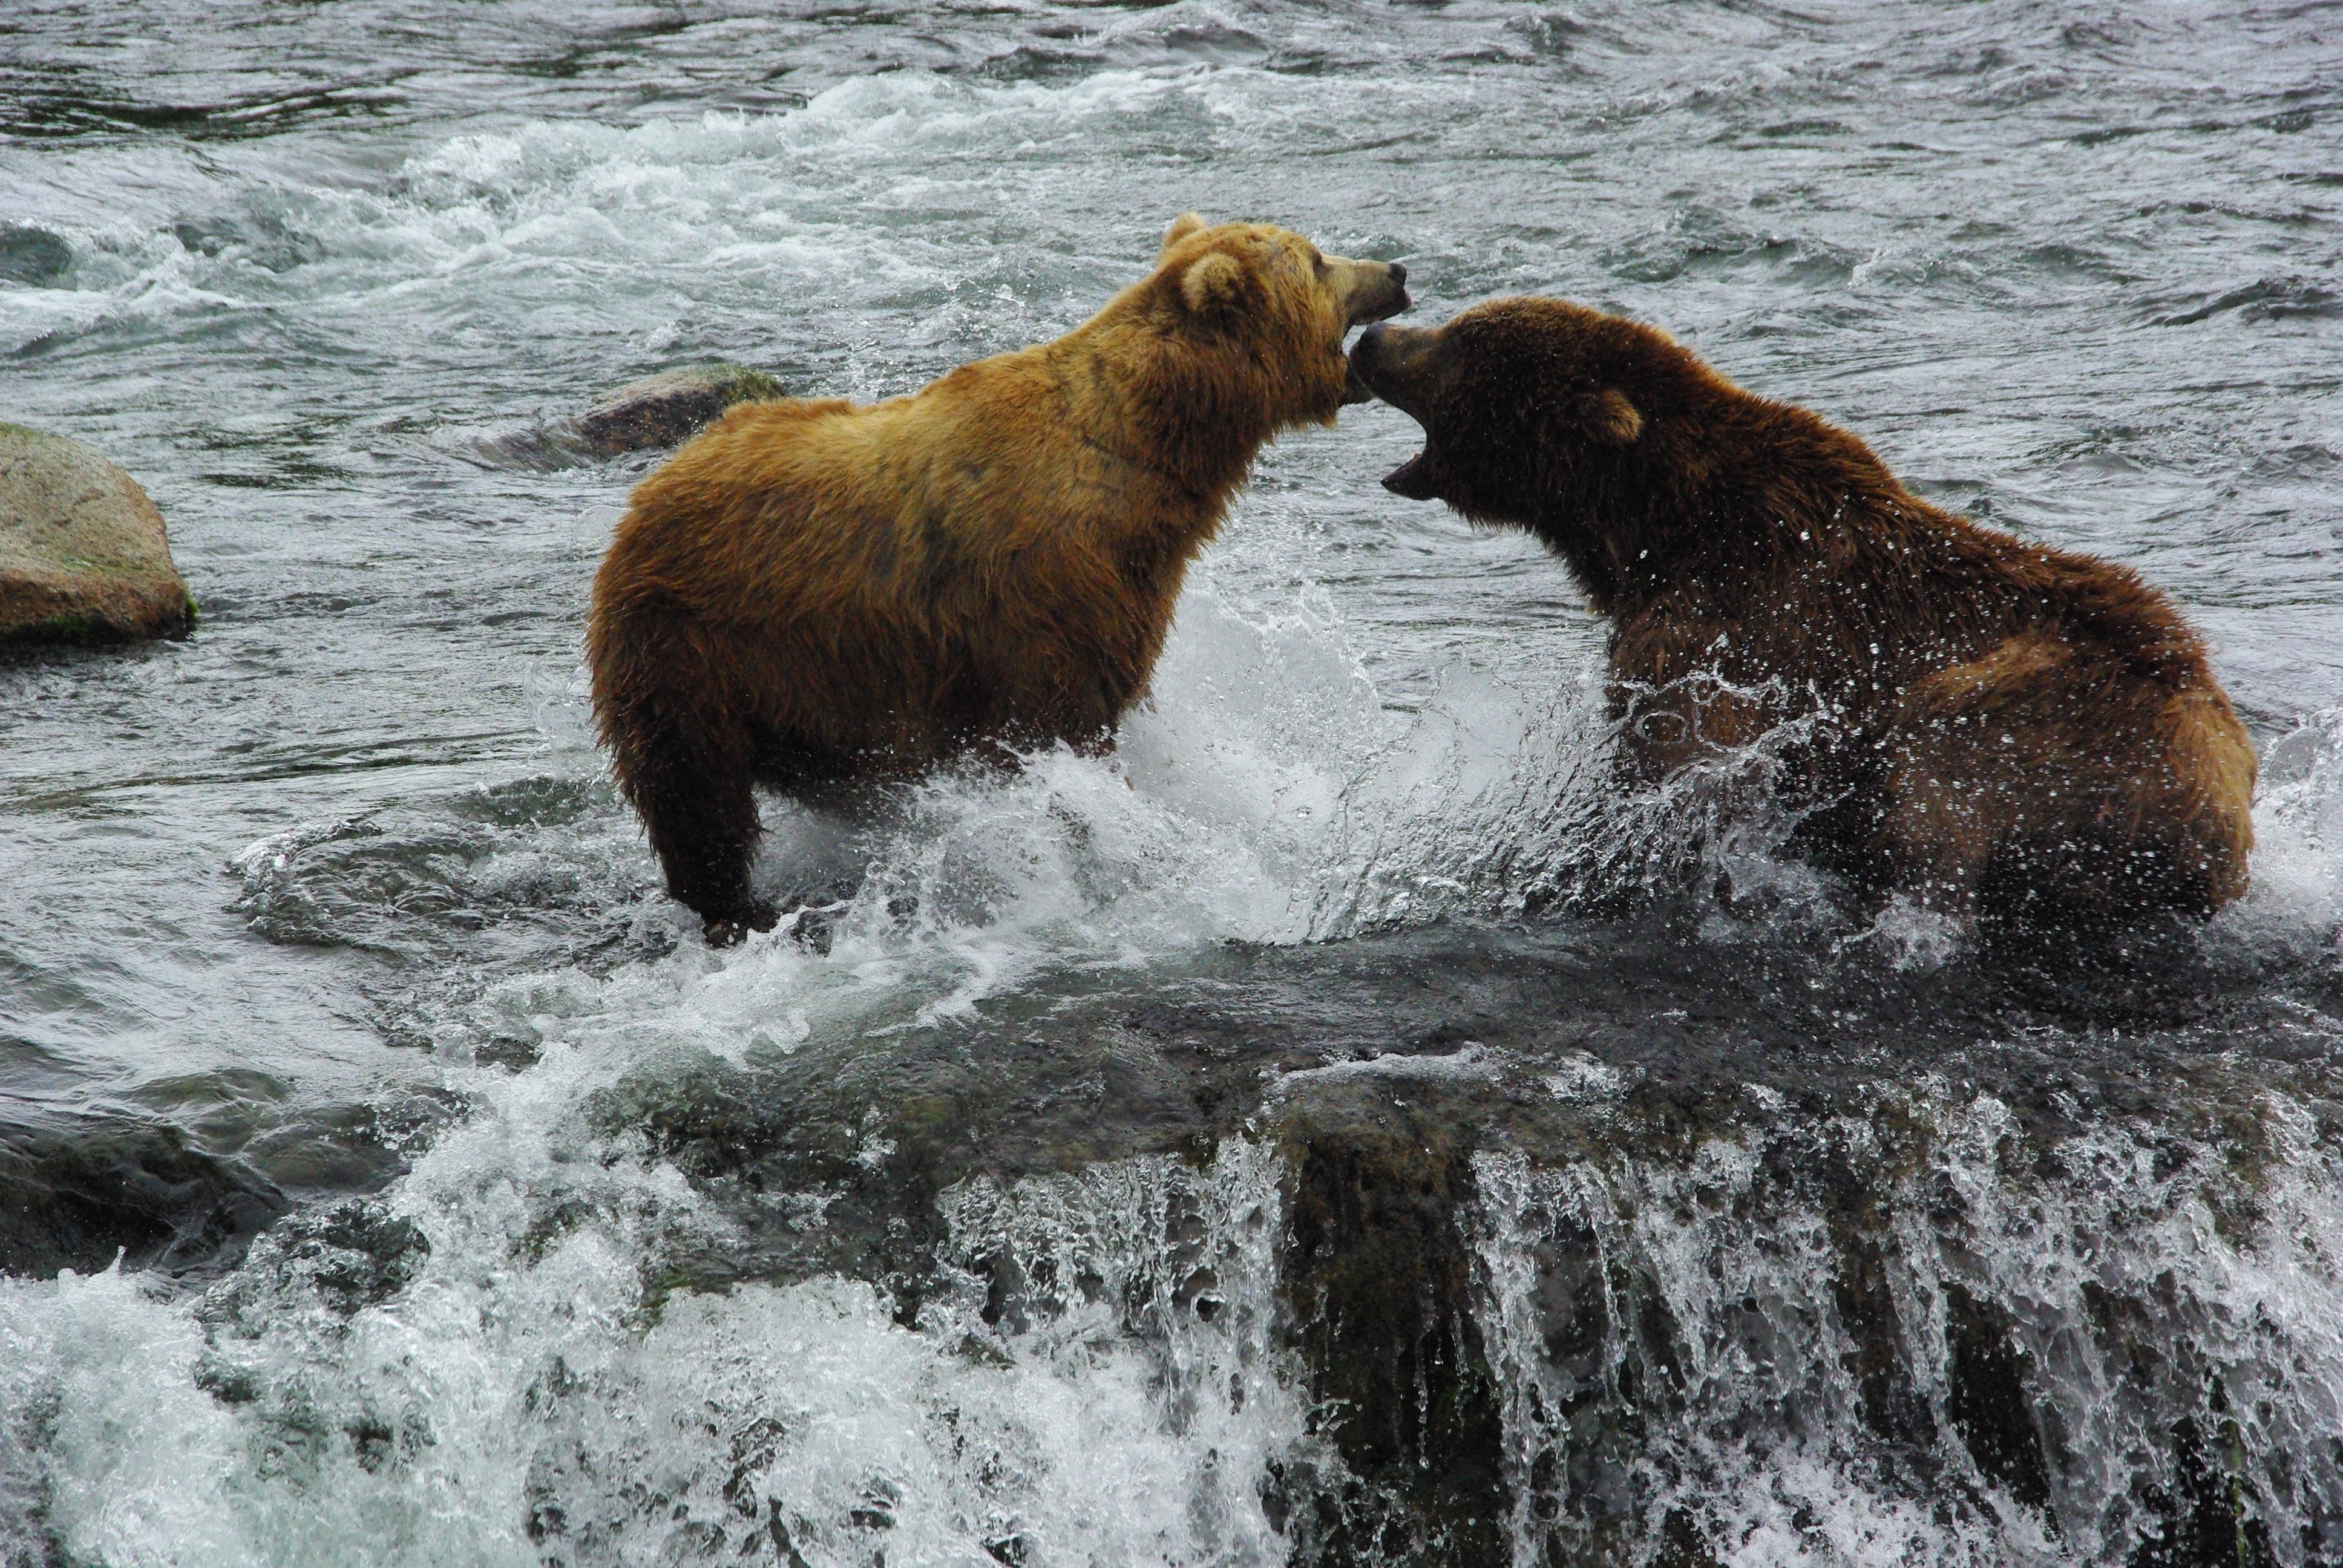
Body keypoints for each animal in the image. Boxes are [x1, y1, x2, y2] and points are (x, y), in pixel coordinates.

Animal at [586, 212, 1406, 937]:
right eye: (1317, 259)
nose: (1395, 270)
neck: (1146, 459)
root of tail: (644, 497)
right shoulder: (1042, 593)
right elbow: (1060, 729)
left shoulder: (1127, 592)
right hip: (695, 652)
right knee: (697, 799)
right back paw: (733, 905)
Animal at [1358, 299, 2249, 923]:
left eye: (1457, 343)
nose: (1371, 339)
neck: (1652, 530)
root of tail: (2228, 803)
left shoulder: (1720, 632)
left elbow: (1676, 768)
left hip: (2074, 722)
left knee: (1944, 768)